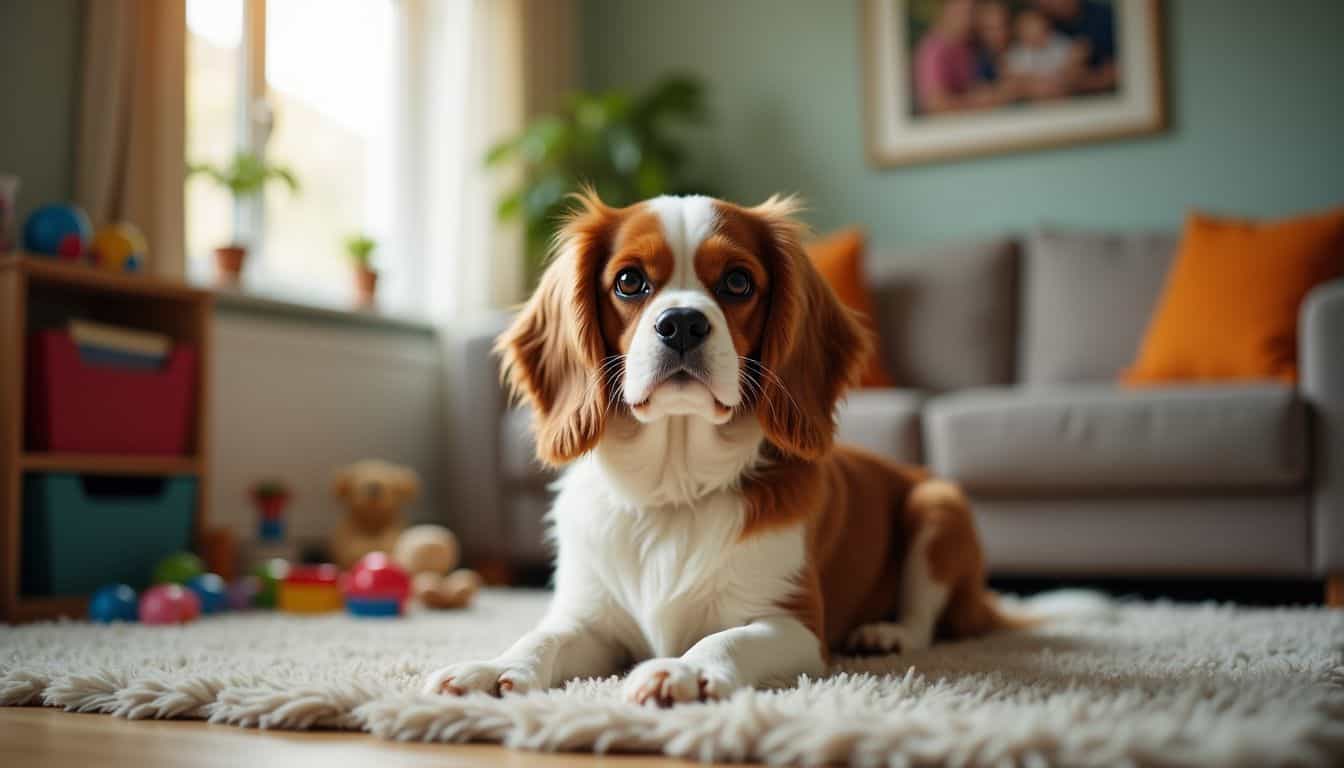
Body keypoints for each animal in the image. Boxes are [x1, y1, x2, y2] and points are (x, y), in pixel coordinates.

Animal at [424, 193, 1010, 710]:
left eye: (737, 281)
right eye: (629, 281)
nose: (682, 322)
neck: (674, 489)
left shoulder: (793, 623)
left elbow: (725, 638)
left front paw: (686, 670)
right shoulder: (592, 620)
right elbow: (542, 636)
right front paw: (495, 668)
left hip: (938, 507)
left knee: (927, 620)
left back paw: (885, 633)